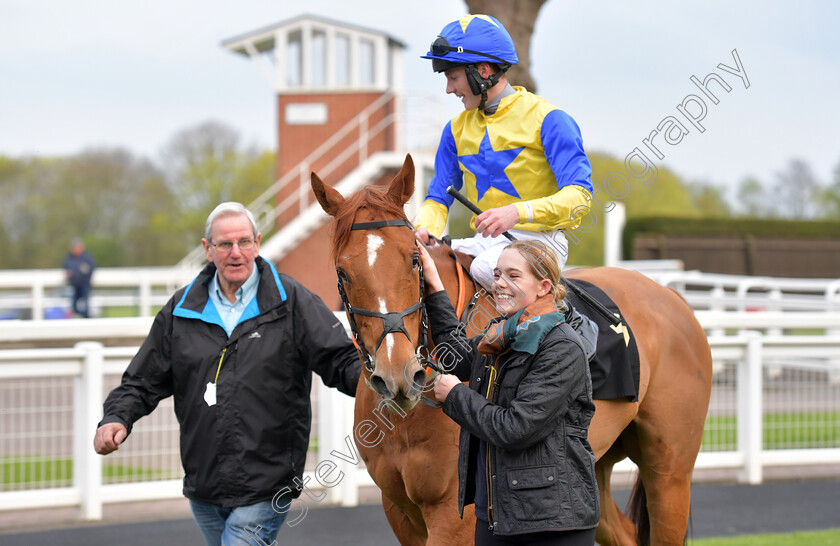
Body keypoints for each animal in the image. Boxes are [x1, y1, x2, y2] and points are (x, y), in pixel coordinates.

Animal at [312, 154, 712, 544]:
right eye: (342, 272)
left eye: (413, 259)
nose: (399, 376)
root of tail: (671, 295)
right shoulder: (399, 511)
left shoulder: (453, 514)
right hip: (592, 465)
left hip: (670, 471)